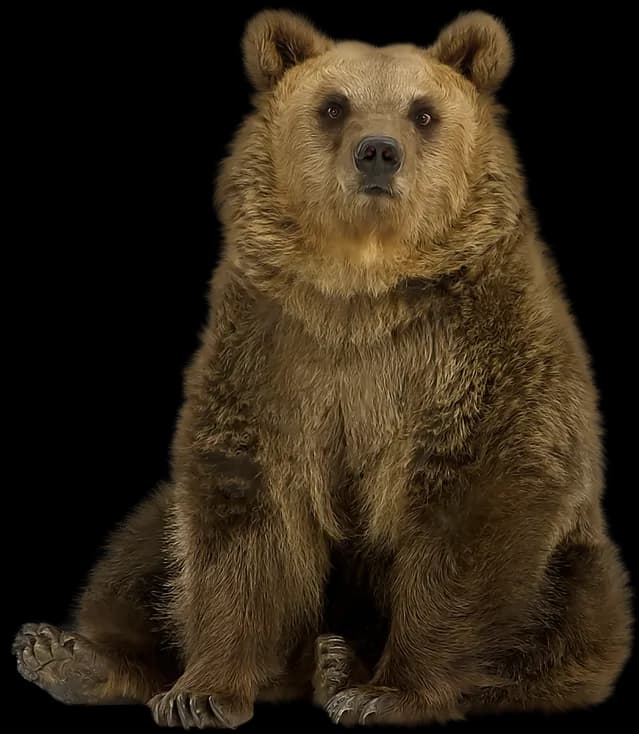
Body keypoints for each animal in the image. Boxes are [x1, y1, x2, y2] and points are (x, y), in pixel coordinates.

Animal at [13, 8, 633, 729]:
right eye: (333, 105)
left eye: (423, 112)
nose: (378, 151)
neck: (360, 289)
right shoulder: (271, 355)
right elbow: (241, 518)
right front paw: (200, 692)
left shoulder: (477, 354)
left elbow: (473, 509)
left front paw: (387, 693)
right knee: (144, 547)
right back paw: (68, 655)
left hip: (574, 564)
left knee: (570, 617)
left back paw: (343, 666)